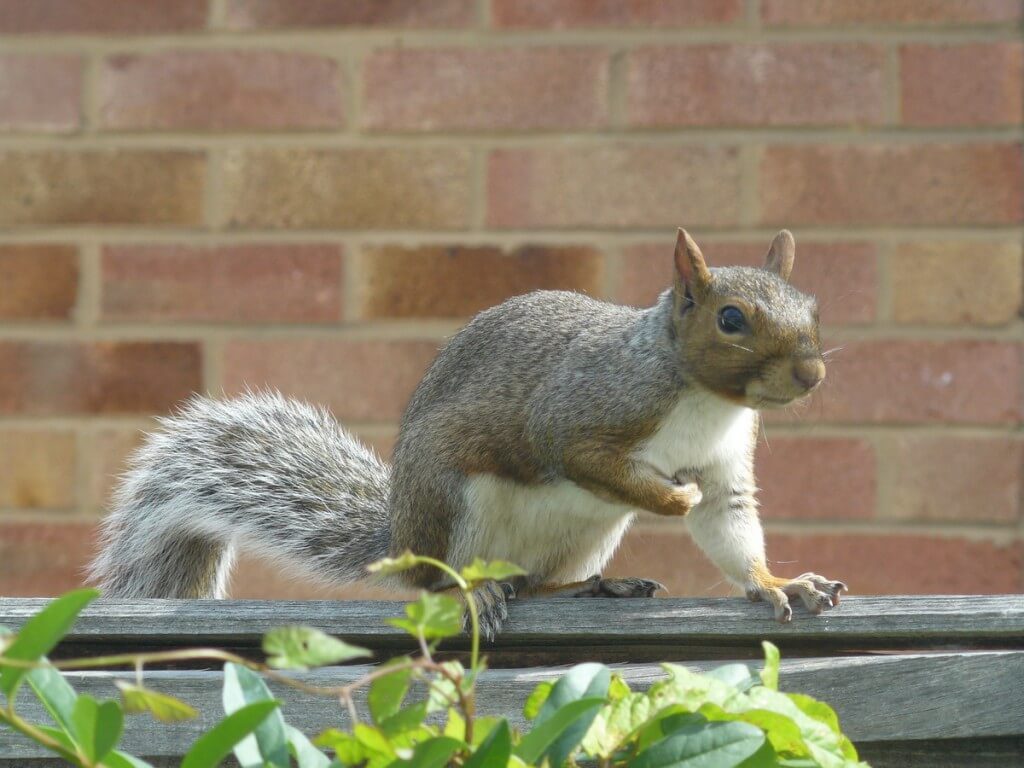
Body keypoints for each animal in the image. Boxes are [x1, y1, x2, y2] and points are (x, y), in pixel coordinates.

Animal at [88, 228, 843, 638]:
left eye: (812, 307)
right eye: (731, 319)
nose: (811, 374)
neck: (702, 400)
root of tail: (403, 538)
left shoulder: (724, 467)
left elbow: (727, 525)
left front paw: (777, 582)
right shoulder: (580, 415)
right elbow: (586, 458)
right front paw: (670, 497)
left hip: (582, 536)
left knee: (532, 583)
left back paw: (588, 588)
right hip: (458, 503)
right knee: (438, 586)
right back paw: (470, 591)